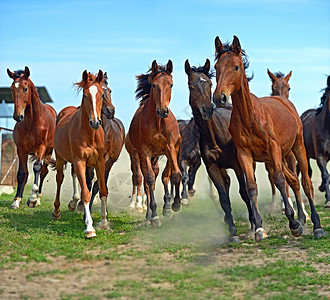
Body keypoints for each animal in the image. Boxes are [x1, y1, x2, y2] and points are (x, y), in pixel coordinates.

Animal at [6, 67, 56, 210]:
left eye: (25, 88)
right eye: (12, 88)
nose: (18, 116)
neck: (31, 122)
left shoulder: (41, 148)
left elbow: (37, 168)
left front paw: (32, 198)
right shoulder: (21, 149)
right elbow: (22, 174)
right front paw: (17, 200)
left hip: (48, 152)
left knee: (43, 171)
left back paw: (37, 198)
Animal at [52, 69, 107, 238]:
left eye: (102, 94)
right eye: (85, 95)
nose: (95, 122)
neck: (90, 134)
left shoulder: (99, 162)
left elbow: (103, 190)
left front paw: (104, 222)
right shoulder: (80, 161)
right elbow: (86, 194)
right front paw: (90, 228)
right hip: (60, 158)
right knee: (59, 179)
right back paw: (56, 211)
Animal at [127, 59, 182, 226]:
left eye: (171, 84)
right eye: (153, 85)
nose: (162, 111)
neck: (158, 123)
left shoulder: (171, 148)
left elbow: (175, 174)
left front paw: (174, 204)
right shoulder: (144, 152)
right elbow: (150, 179)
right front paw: (155, 215)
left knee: (162, 175)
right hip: (142, 156)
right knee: (146, 181)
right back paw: (149, 216)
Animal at [186, 58, 255, 241]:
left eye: (210, 83)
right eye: (191, 85)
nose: (207, 110)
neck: (215, 136)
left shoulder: (238, 164)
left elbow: (244, 192)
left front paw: (254, 225)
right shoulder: (213, 168)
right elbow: (224, 198)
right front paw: (232, 231)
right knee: (227, 183)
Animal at [211, 35, 324, 241]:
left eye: (236, 67)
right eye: (216, 67)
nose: (219, 97)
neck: (250, 118)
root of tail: (285, 102)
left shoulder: (273, 148)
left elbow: (279, 180)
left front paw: (293, 223)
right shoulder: (245, 154)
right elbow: (251, 187)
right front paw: (259, 228)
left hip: (296, 148)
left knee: (305, 183)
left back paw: (317, 226)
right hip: (276, 156)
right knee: (293, 180)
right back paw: (303, 220)